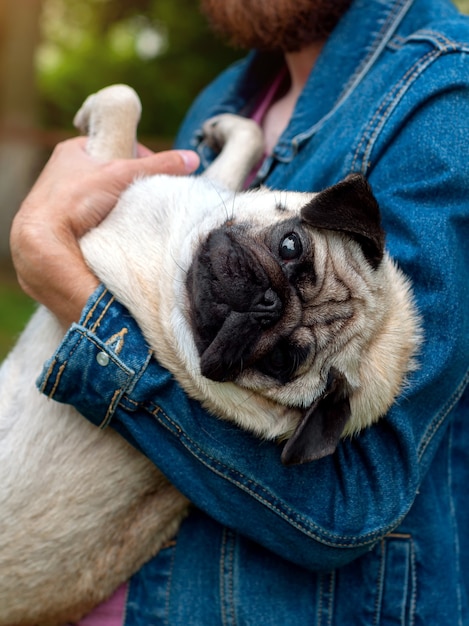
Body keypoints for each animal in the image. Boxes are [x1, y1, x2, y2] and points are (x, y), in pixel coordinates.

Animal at [0, 85, 418, 620]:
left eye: (281, 361)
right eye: (290, 245)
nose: (268, 301)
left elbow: (121, 104)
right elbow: (222, 146)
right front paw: (227, 133)